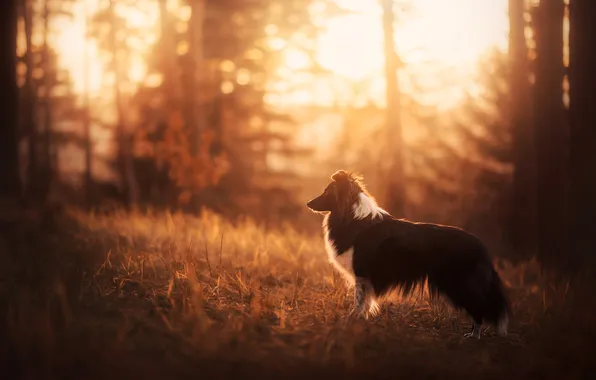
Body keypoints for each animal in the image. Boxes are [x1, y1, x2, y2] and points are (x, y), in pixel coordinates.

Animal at [308, 169, 508, 338]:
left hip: (458, 283)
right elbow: (365, 302)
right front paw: (361, 321)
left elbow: (359, 300)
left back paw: (474, 335)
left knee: (479, 307)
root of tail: (481, 246)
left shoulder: (361, 273)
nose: (308, 203)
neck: (354, 217)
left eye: (327, 192)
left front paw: (351, 321)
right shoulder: (365, 278)